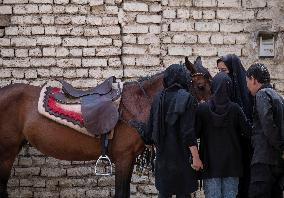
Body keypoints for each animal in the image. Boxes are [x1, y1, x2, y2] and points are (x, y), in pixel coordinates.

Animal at [0, 56, 211, 196]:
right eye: (201, 86)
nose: (209, 113)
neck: (136, 103)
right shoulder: (124, 158)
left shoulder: (128, 159)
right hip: (7, 152)